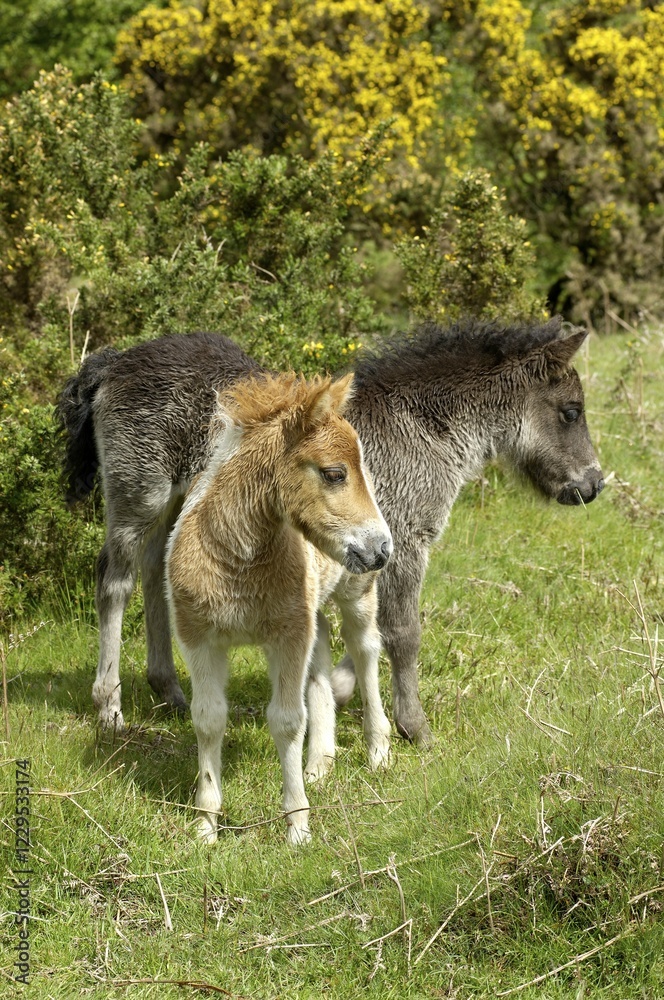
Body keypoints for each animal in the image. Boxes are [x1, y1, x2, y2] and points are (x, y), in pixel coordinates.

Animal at [57, 316, 604, 743]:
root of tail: (113, 364)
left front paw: (337, 690)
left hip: (176, 504)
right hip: (139, 494)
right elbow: (403, 633)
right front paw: (414, 727)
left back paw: (168, 689)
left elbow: (368, 635)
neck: (420, 427)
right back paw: (110, 708)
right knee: (115, 580)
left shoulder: (368, 550)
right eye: (570, 412)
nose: (593, 484)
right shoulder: (403, 544)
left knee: (155, 569)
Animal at [165, 372, 392, 844]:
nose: (383, 548)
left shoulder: (287, 637)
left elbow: (287, 721)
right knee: (321, 659)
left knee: (365, 651)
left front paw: (298, 826)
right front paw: (205, 826)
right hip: (311, 608)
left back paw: (378, 751)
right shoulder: (198, 639)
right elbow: (208, 719)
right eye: (334, 473)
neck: (237, 562)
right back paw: (320, 764)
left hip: (356, 591)